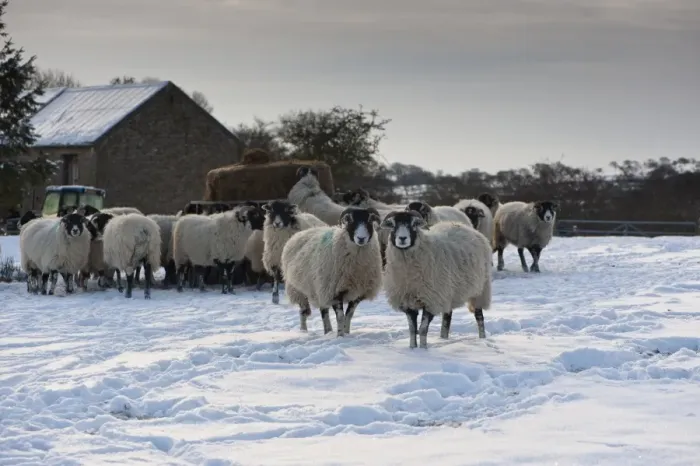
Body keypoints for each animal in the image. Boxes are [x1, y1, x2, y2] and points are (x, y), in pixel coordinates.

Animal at [281, 207, 383, 337]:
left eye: (370, 220)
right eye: (350, 220)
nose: (361, 238)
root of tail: (301, 233)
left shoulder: (358, 293)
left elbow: (349, 315)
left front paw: (346, 332)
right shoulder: (334, 292)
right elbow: (340, 317)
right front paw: (340, 336)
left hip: (319, 287)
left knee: (323, 311)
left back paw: (328, 331)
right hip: (298, 289)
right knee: (303, 312)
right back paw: (304, 330)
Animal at [380, 210, 492, 349]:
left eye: (414, 224)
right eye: (393, 225)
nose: (402, 238)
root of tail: (466, 227)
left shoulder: (431, 300)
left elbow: (422, 329)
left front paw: (423, 349)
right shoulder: (408, 301)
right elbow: (412, 329)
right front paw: (412, 348)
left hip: (480, 289)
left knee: (479, 316)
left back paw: (482, 338)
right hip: (449, 291)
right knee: (447, 317)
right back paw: (443, 337)